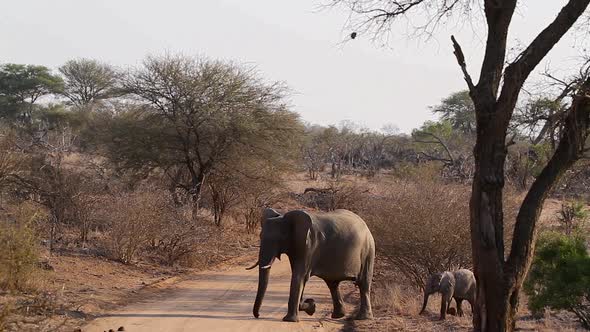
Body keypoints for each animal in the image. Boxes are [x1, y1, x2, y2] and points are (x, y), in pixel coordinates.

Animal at [247, 208, 376, 322]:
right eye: (260, 236)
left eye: (280, 238)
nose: (258, 315)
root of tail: (364, 224)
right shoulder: (296, 246)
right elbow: (300, 278)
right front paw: (311, 306)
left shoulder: (309, 245)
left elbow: (299, 276)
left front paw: (290, 319)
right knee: (332, 284)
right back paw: (338, 316)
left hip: (368, 249)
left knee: (363, 283)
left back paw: (362, 318)